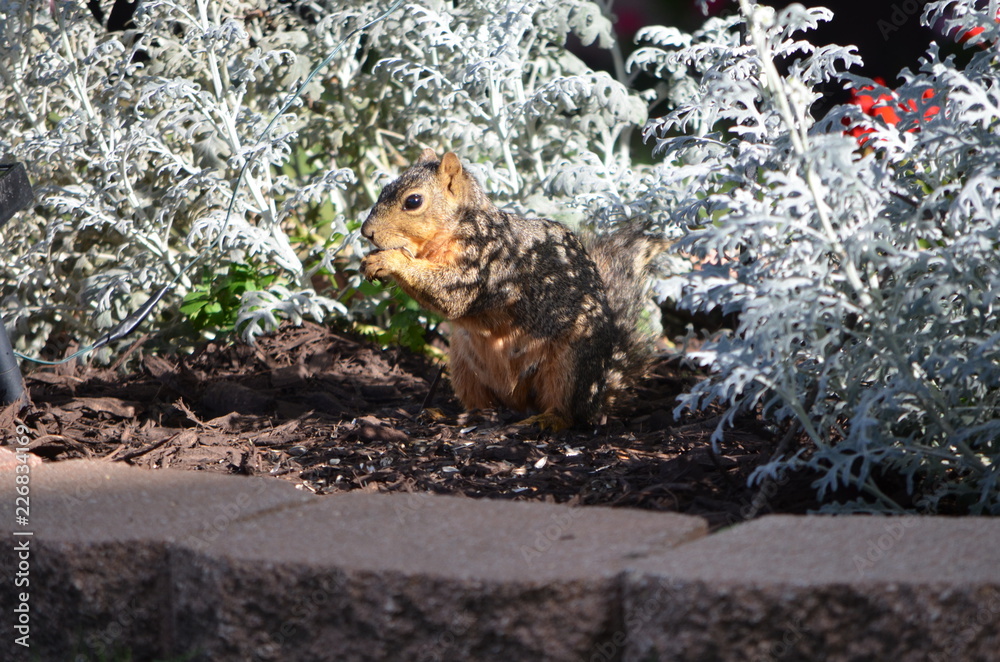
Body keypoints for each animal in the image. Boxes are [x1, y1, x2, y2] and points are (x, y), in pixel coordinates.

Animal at [360, 149, 659, 430]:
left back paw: (549, 419)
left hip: (570, 364)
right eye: (384, 189)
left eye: (413, 201)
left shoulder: (484, 263)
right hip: (462, 366)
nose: (366, 232)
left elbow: (452, 295)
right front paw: (372, 260)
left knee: (569, 410)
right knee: (481, 404)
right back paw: (450, 414)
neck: (458, 228)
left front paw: (390, 260)